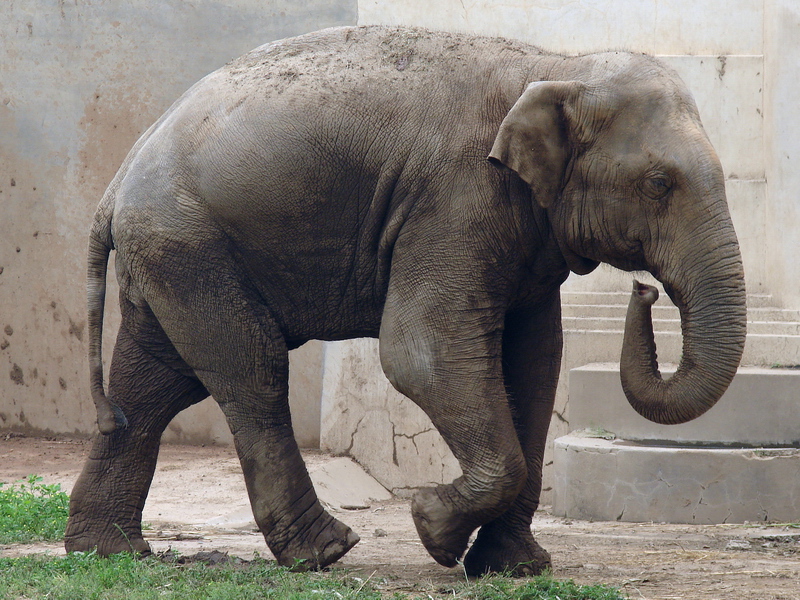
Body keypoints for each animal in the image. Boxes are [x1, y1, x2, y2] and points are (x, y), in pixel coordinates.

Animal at [65, 25, 747, 576]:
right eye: (659, 184)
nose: (645, 288)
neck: (558, 63)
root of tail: (118, 180)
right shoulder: (456, 196)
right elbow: (423, 351)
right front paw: (433, 528)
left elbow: (534, 363)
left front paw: (515, 567)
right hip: (190, 243)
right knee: (251, 372)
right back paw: (325, 552)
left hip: (173, 254)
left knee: (153, 384)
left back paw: (110, 552)